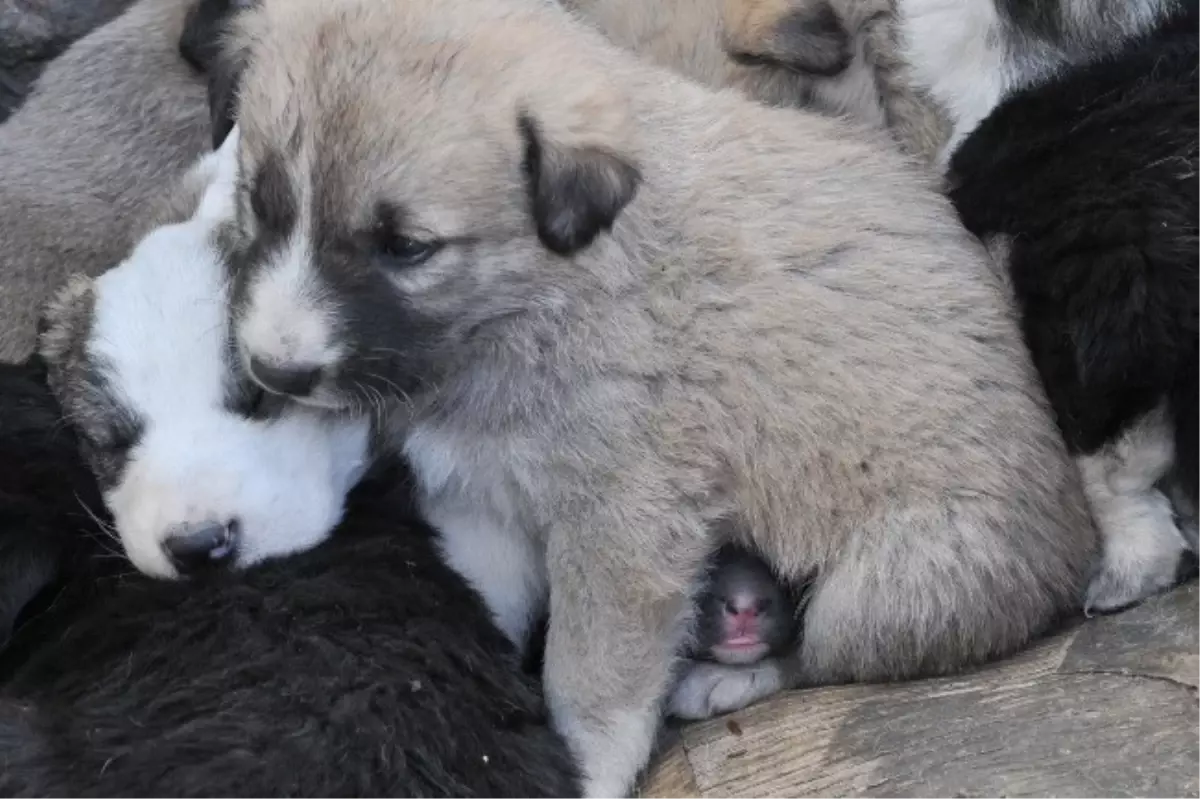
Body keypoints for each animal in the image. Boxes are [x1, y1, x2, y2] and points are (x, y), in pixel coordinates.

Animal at [204, 3, 1099, 791]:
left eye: (407, 247)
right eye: (263, 203)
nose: (275, 370)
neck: (531, 301)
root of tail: (1075, 539)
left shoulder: (624, 526)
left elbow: (592, 683)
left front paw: (587, 769)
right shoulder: (484, 501)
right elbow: (489, 610)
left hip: (885, 589)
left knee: (824, 651)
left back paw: (728, 678)